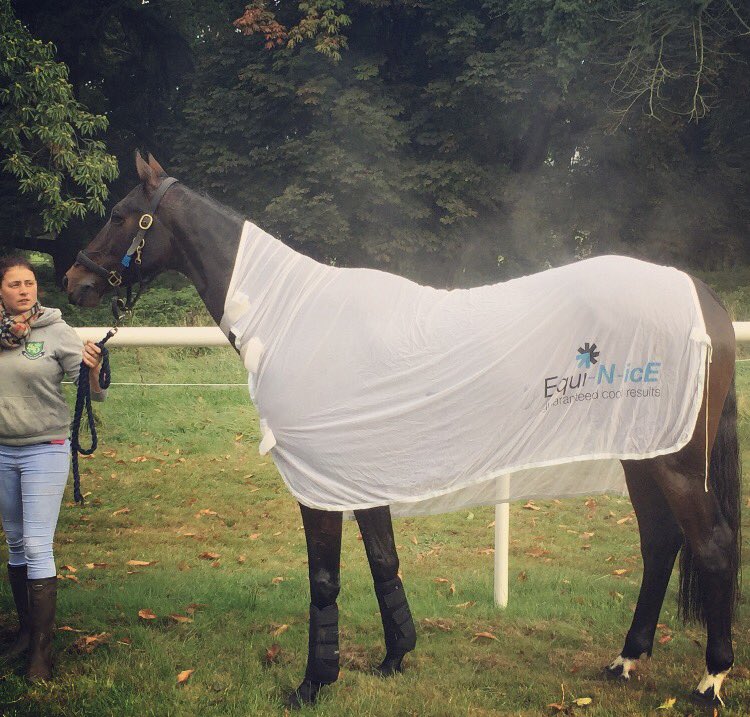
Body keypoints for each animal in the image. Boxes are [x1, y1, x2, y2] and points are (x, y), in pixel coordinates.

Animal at [64, 152, 741, 709]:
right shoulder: (359, 474)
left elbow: (325, 580)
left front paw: (314, 683)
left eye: (120, 216)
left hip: (676, 463)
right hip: (642, 452)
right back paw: (625, 660)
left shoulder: (319, 483)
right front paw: (395, 656)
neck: (294, 318)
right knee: (660, 543)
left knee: (711, 545)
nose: (76, 281)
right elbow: (383, 559)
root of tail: (703, 298)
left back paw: (710, 680)